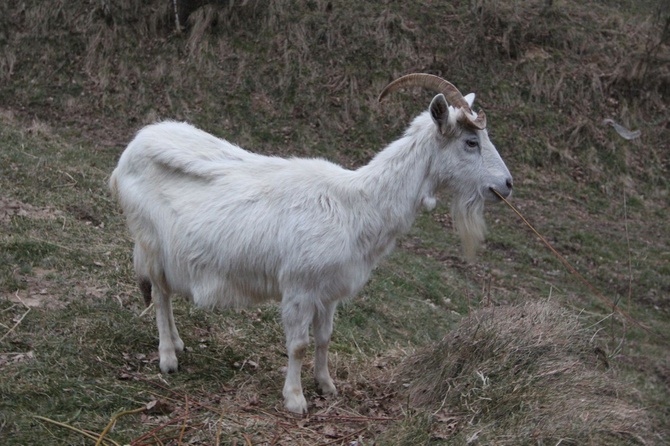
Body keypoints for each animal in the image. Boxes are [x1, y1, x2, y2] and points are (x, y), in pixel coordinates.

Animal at [109, 74, 516, 414]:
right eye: (471, 142)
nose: (507, 184)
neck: (357, 206)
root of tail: (131, 150)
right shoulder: (299, 286)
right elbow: (299, 345)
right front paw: (295, 399)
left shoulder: (329, 290)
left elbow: (324, 338)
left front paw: (326, 385)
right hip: (151, 240)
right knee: (160, 294)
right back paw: (168, 357)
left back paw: (177, 344)